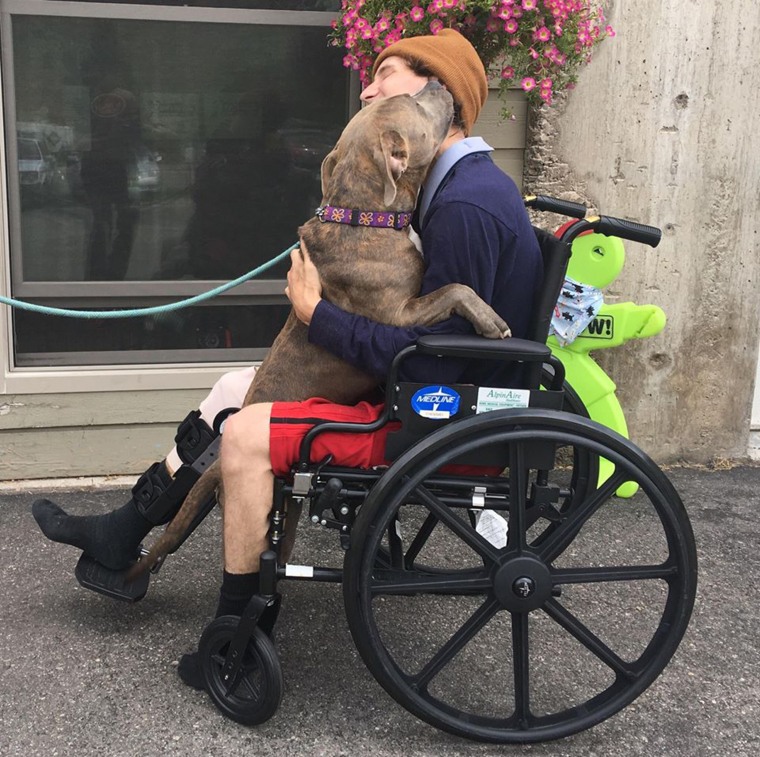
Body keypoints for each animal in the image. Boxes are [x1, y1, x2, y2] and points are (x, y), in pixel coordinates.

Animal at [129, 82, 510, 580]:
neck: (364, 213)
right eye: (414, 101)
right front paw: (490, 319)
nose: (437, 85)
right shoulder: (399, 316)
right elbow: (454, 287)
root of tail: (221, 459)